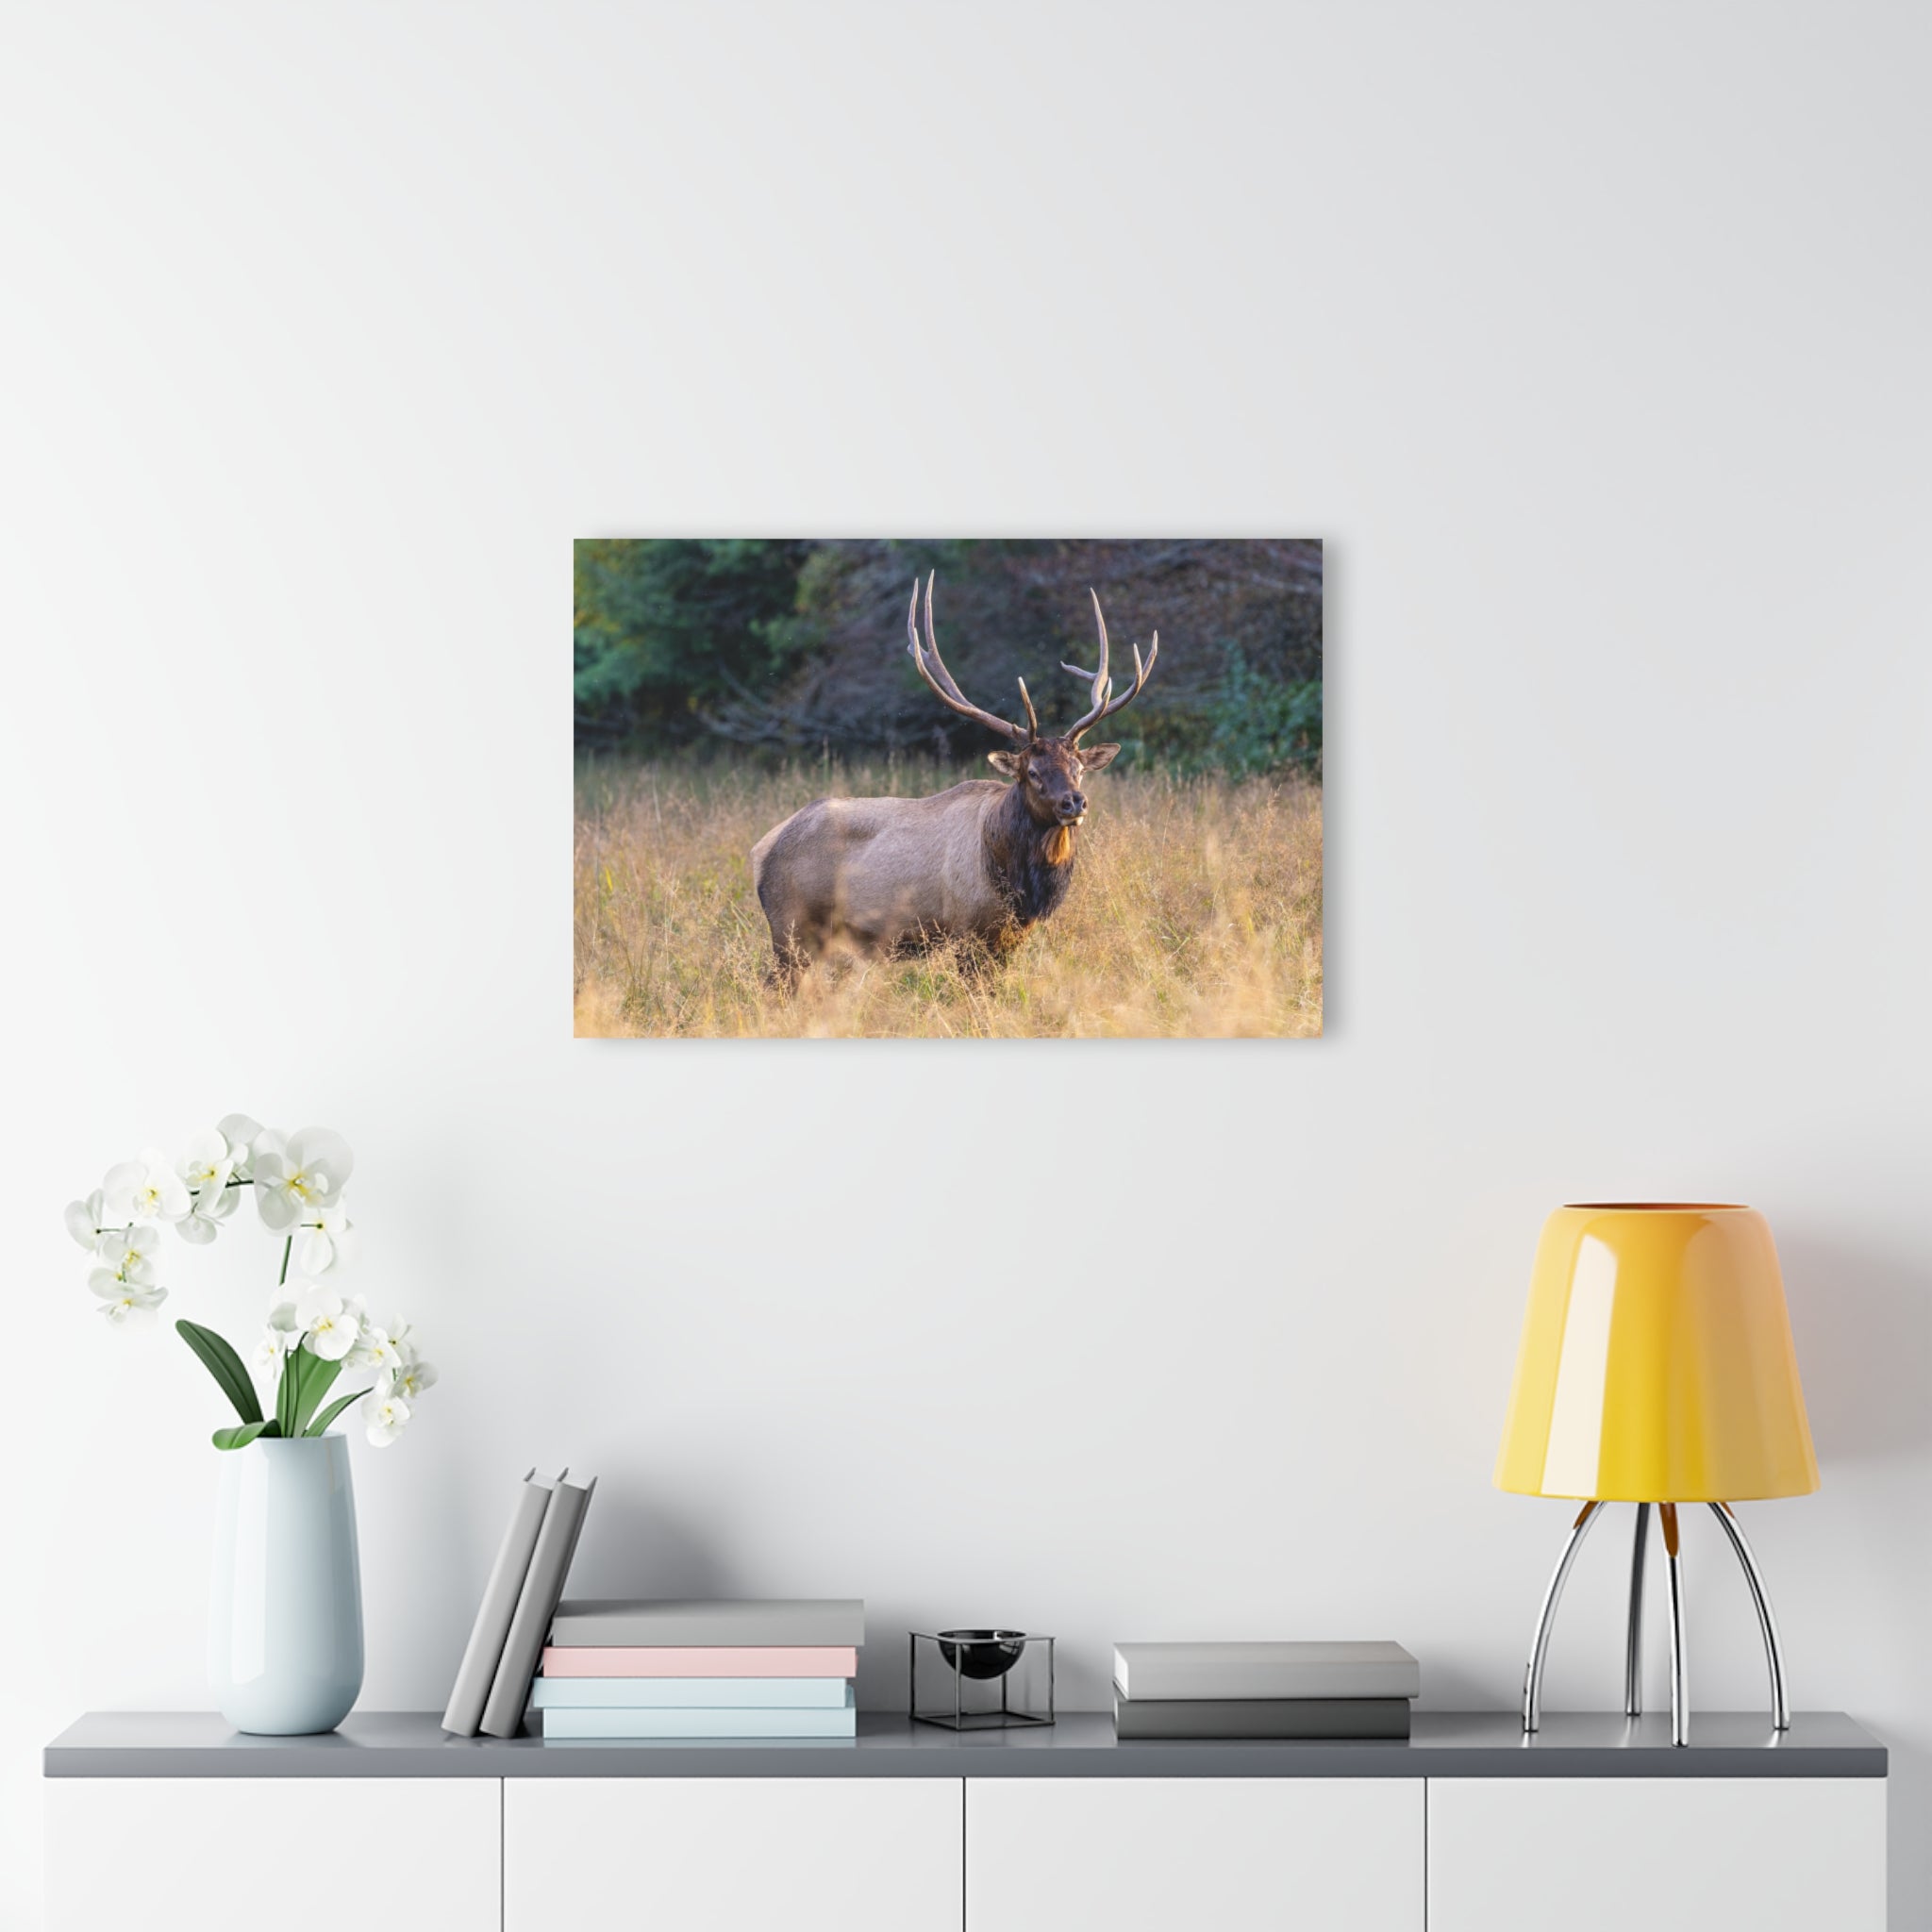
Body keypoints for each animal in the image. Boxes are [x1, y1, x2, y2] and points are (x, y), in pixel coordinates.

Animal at [751, 573, 1159, 979]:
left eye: (1079, 769)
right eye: (1032, 771)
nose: (1074, 802)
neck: (1017, 882)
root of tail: (760, 850)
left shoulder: (1010, 937)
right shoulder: (967, 931)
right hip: (791, 926)